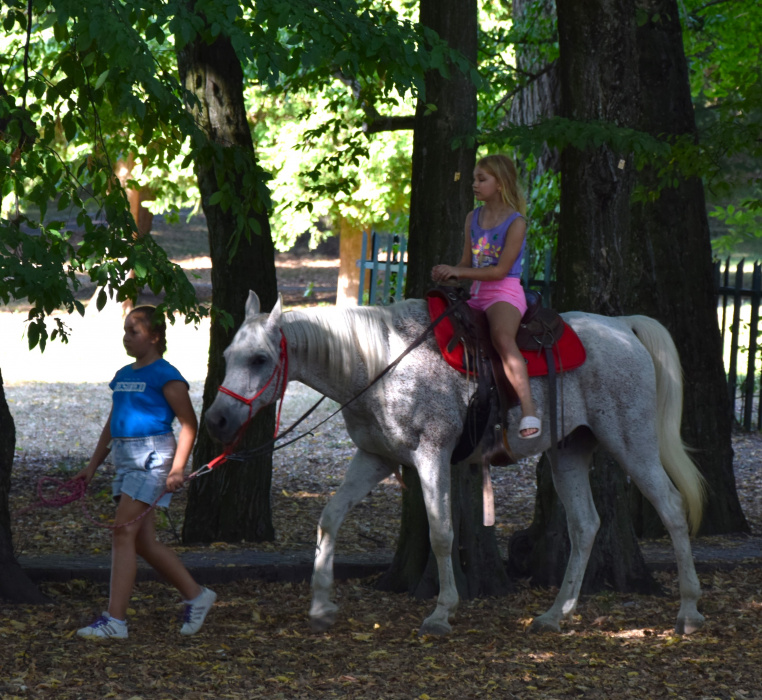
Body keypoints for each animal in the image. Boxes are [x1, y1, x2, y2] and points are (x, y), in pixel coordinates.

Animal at [205, 292, 704, 636]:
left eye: (260, 358)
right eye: (227, 356)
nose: (216, 419)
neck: (380, 364)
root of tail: (621, 326)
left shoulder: (432, 455)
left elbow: (442, 532)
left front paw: (443, 612)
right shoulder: (376, 458)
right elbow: (330, 518)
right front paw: (321, 606)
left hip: (632, 442)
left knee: (672, 508)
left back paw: (689, 610)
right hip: (569, 451)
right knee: (584, 525)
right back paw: (555, 614)